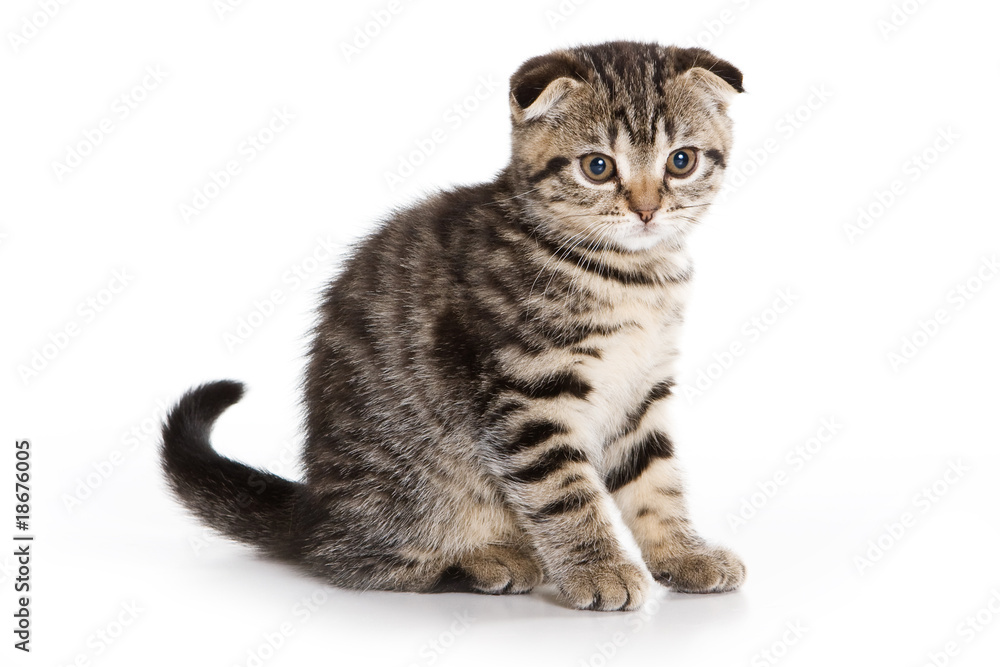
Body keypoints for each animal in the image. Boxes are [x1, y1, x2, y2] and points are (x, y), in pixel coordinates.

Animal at [162, 41, 744, 612]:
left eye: (682, 161)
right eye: (597, 166)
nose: (647, 210)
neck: (632, 277)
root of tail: (313, 510)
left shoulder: (642, 389)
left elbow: (655, 481)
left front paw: (685, 555)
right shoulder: (527, 393)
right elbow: (563, 491)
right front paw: (598, 568)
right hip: (407, 491)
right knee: (351, 560)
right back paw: (486, 562)